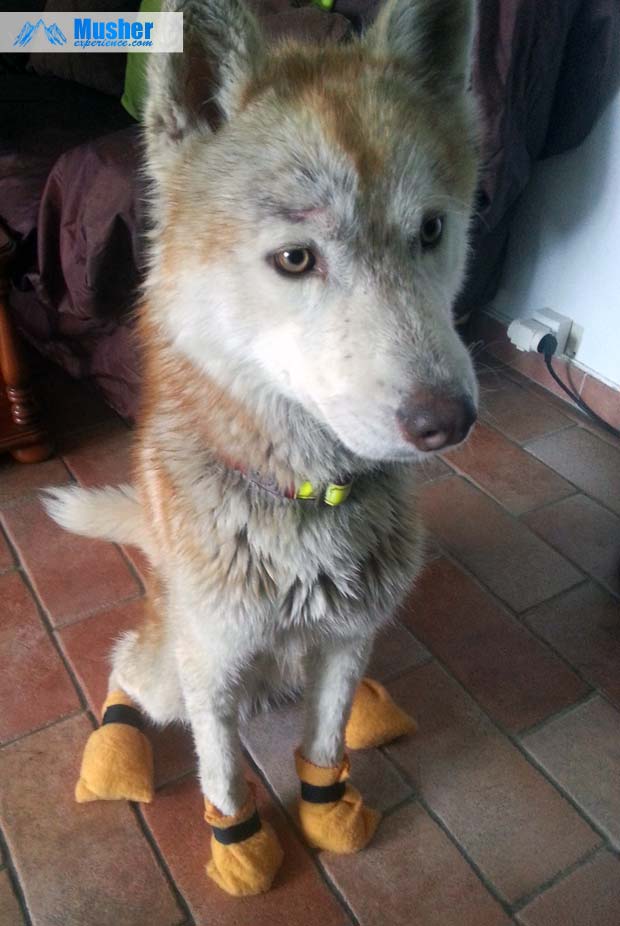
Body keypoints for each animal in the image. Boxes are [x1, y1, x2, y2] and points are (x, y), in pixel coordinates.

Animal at [47, 0, 480, 900]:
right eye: (294, 258)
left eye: (431, 230)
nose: (448, 420)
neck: (305, 501)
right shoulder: (209, 670)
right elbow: (222, 775)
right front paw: (241, 849)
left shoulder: (346, 639)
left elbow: (325, 737)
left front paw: (329, 808)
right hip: (166, 666)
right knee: (124, 673)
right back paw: (116, 751)